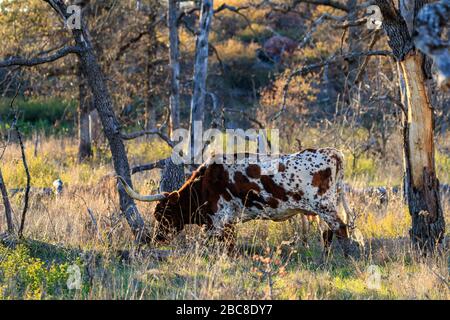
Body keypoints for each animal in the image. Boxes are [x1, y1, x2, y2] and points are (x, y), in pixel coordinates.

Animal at [118, 149, 364, 256]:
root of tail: (333, 153)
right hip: (324, 208)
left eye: (163, 214)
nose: (157, 238)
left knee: (340, 228)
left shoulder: (221, 219)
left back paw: (345, 257)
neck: (205, 181)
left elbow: (225, 246)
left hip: (325, 206)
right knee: (328, 233)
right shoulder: (225, 222)